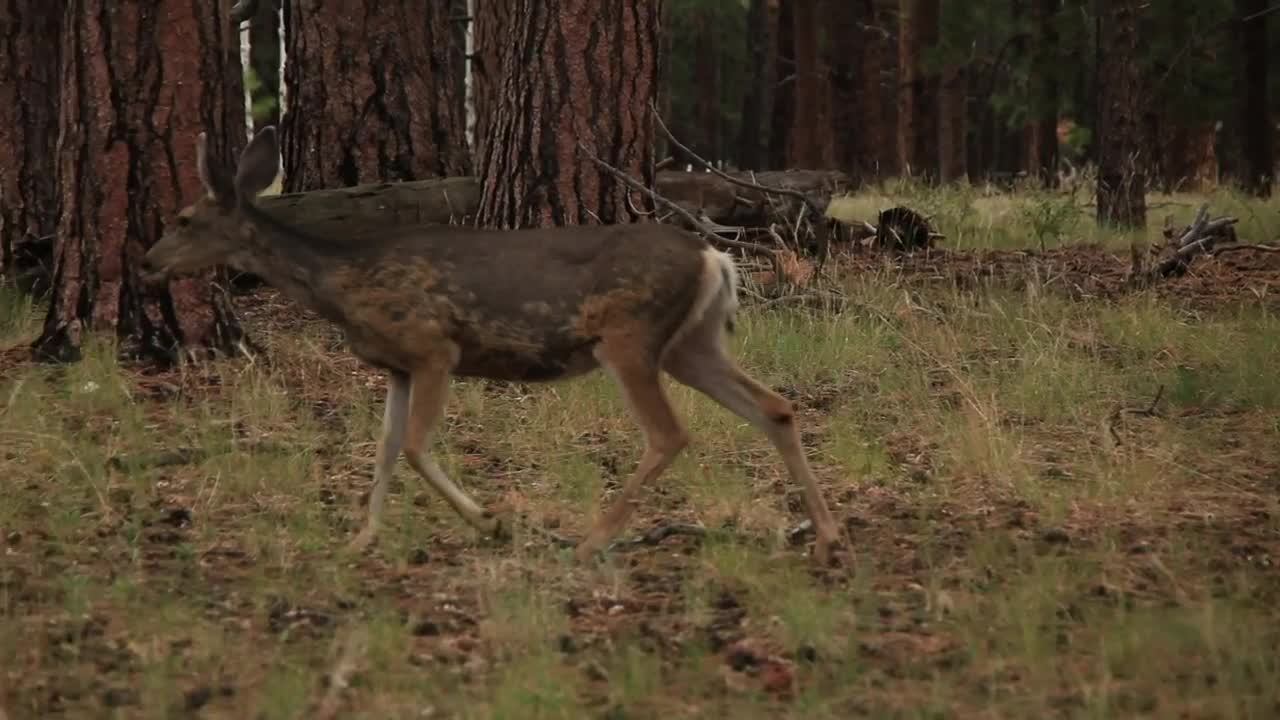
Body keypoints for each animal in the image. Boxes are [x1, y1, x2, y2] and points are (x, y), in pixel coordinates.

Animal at [142, 126, 845, 564]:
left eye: (184, 218)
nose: (148, 263)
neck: (342, 283)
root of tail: (714, 256)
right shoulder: (396, 367)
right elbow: (384, 451)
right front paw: (361, 540)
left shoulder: (433, 348)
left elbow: (415, 448)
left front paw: (490, 520)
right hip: (690, 343)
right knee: (775, 406)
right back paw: (826, 537)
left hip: (631, 335)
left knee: (669, 434)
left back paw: (590, 542)